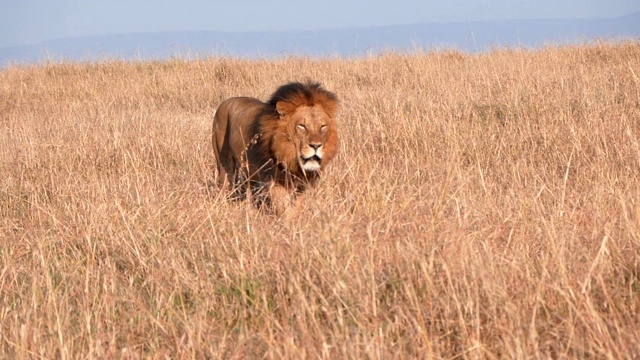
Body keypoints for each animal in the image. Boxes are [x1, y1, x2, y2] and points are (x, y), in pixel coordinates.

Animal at [211, 81, 340, 214]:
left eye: (323, 126)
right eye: (302, 126)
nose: (316, 145)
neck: (290, 158)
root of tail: (224, 103)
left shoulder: (302, 184)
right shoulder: (273, 181)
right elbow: (284, 207)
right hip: (224, 165)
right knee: (225, 185)